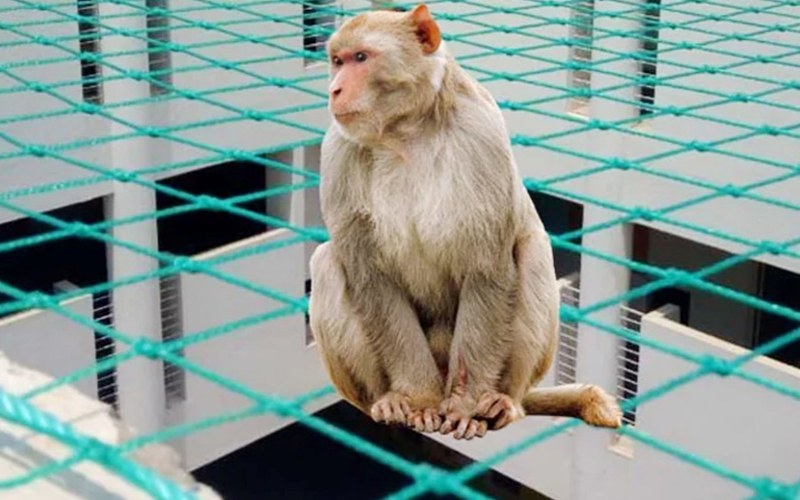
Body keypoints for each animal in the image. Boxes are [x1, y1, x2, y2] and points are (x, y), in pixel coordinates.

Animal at [308, 4, 623, 440]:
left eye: (360, 58)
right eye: (336, 61)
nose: (334, 90)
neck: (405, 133)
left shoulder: (481, 136)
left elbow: (486, 269)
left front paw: (465, 406)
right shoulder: (337, 152)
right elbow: (371, 278)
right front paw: (419, 399)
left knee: (532, 251)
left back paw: (503, 403)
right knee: (327, 261)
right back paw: (386, 401)